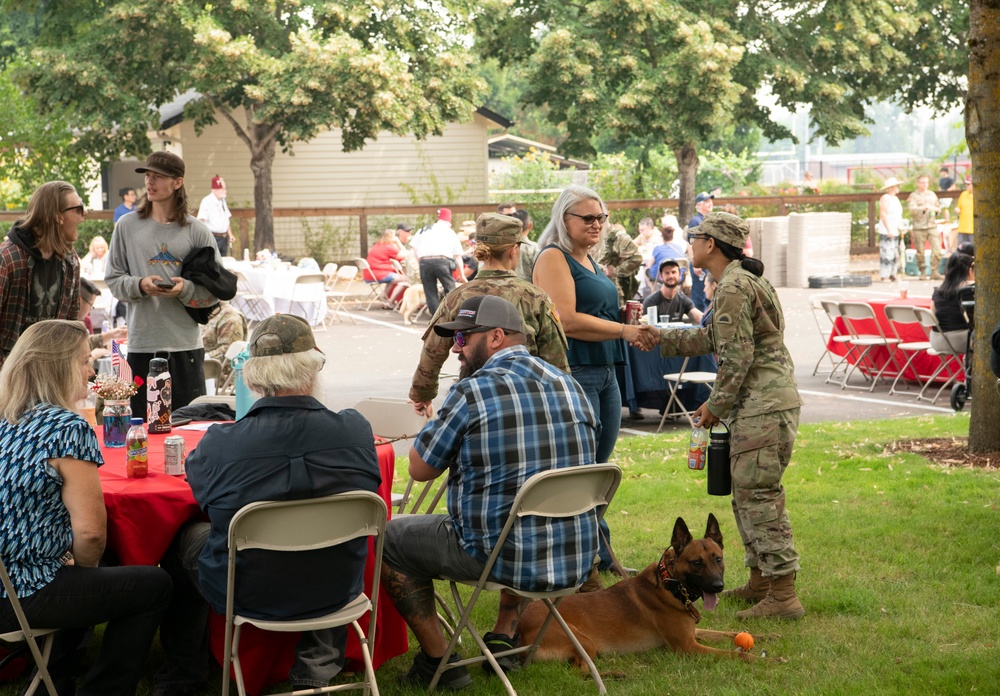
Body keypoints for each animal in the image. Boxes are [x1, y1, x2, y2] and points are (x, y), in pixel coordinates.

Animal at [520, 512, 768, 668]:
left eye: (718, 559)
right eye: (697, 562)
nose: (718, 586)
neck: (670, 585)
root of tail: (520, 628)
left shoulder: (693, 633)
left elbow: (729, 633)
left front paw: (767, 635)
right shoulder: (688, 646)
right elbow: (734, 654)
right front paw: (767, 660)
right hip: (584, 642)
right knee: (581, 670)